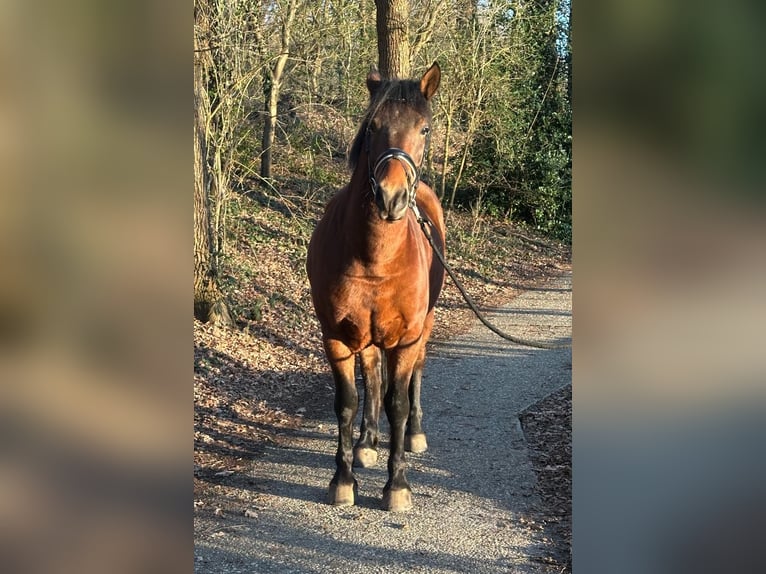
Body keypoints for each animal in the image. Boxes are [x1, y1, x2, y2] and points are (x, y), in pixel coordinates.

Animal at [306, 63, 445, 512]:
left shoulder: (406, 337)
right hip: (365, 336)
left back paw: (414, 433)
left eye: (424, 128)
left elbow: (396, 402)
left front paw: (396, 485)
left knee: (414, 374)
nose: (391, 197)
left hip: (423, 328)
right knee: (372, 374)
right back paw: (367, 441)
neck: (374, 258)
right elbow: (348, 402)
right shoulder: (335, 337)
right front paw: (343, 479)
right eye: (373, 126)